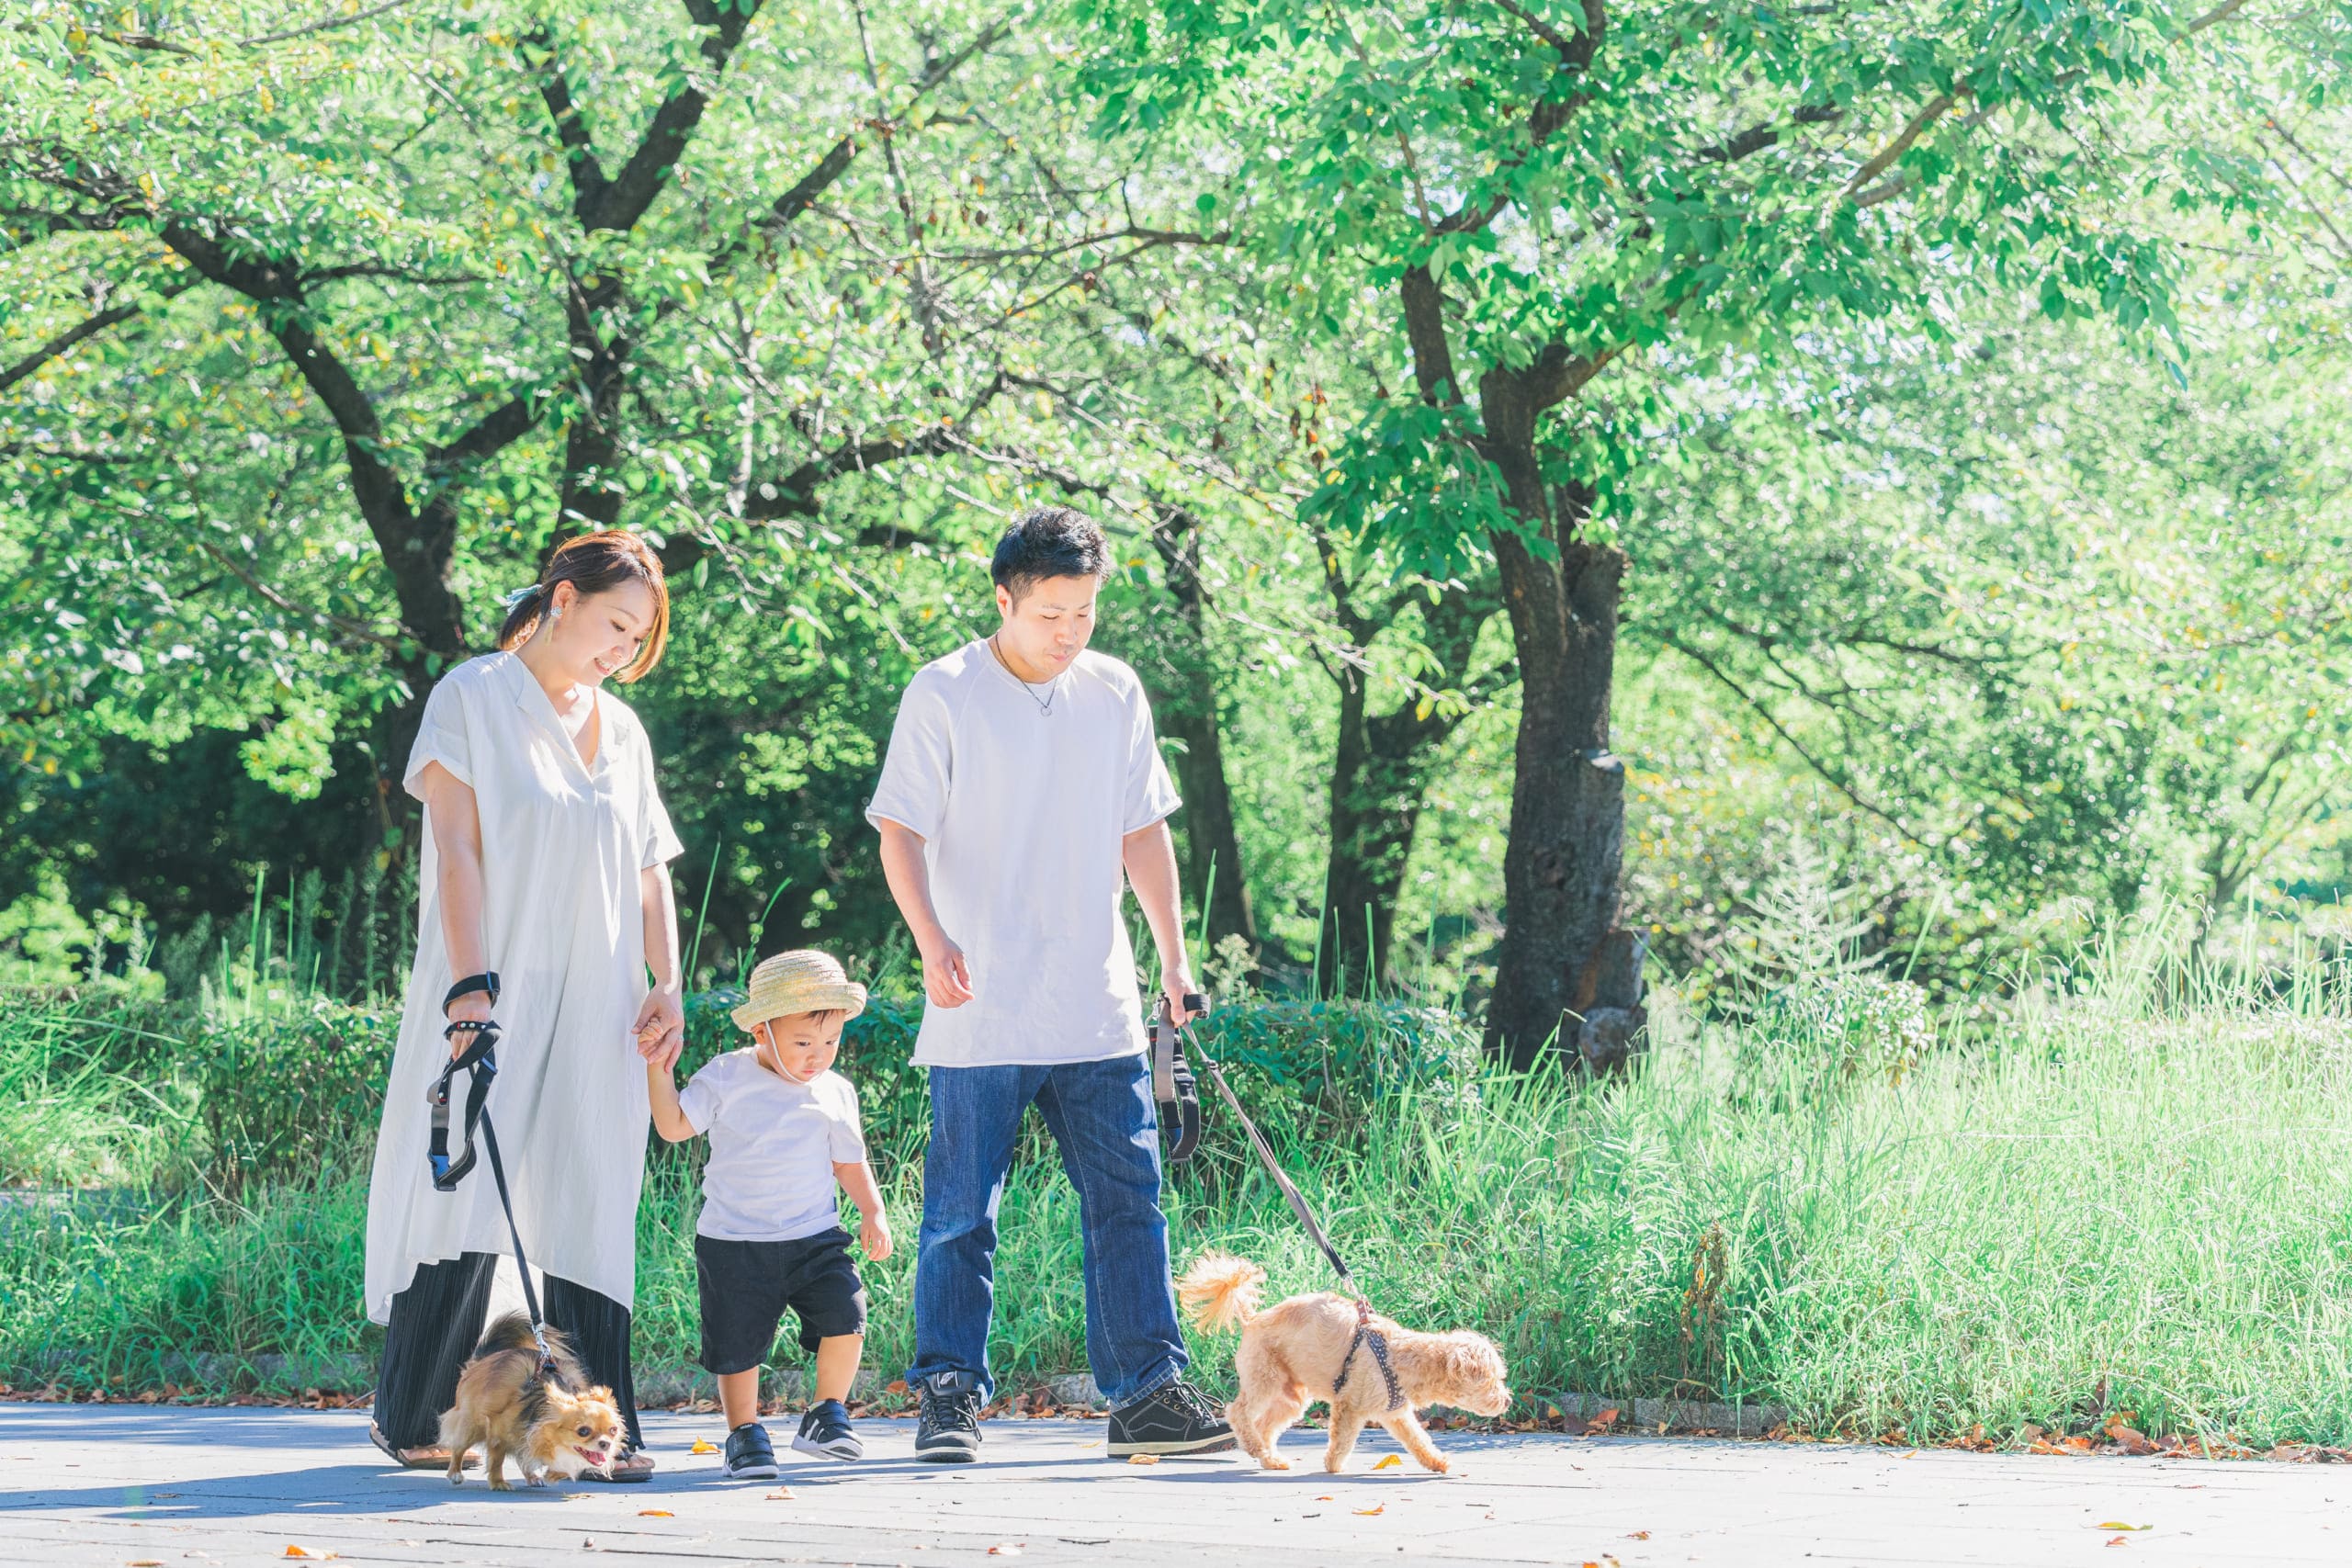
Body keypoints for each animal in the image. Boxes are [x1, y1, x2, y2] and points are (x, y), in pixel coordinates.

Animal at [439, 1316, 630, 1495]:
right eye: (583, 1431)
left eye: (613, 1430)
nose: (606, 1444)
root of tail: (482, 1360)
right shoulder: (498, 1433)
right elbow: (496, 1460)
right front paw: (498, 1482)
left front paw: (552, 1474)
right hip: (472, 1425)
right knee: (459, 1448)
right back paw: (455, 1473)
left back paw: (532, 1477)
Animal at [1185, 1250, 1514, 1476]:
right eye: (1491, 1380)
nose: (1507, 1401)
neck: (1400, 1357)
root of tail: (1252, 1320)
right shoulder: (1349, 1405)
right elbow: (1342, 1440)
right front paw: (1333, 1465)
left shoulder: (1396, 1414)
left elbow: (1418, 1440)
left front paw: (1437, 1462)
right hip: (1264, 1379)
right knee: (1238, 1412)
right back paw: (1254, 1447)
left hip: (1291, 1397)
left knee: (1264, 1425)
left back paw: (1270, 1458)